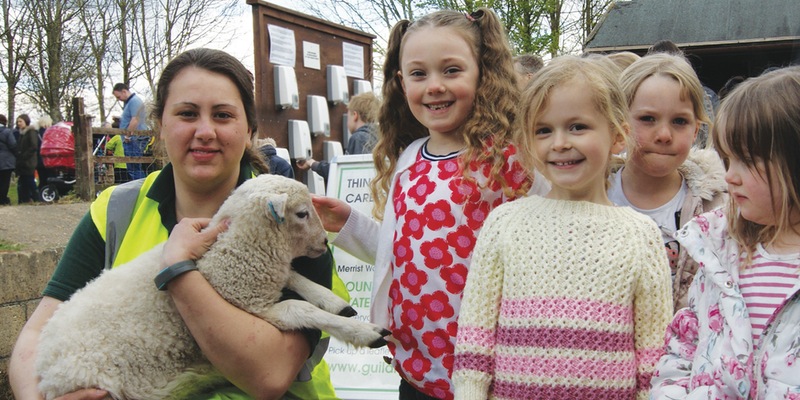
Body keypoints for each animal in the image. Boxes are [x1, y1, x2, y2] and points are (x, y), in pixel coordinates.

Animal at [34, 175, 390, 400]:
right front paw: (363, 332)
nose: (323, 244)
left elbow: (293, 277)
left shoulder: (258, 276)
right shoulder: (249, 304)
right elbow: (298, 307)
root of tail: (45, 374)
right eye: (302, 213)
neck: (229, 251)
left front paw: (333, 301)